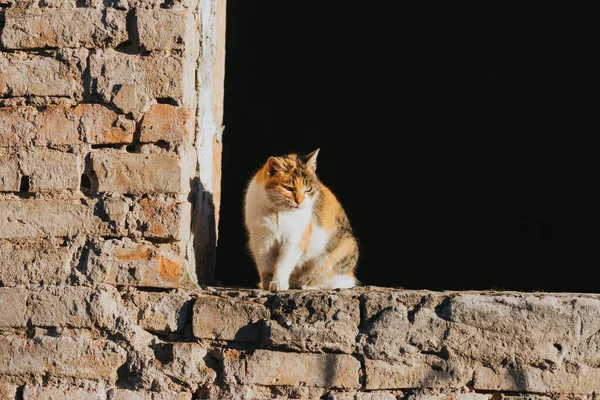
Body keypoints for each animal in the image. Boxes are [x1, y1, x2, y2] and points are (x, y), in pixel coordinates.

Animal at [243, 149, 358, 290]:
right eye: (288, 188)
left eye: (308, 189)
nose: (299, 201)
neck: (279, 212)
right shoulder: (262, 239)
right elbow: (265, 264)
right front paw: (267, 284)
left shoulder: (295, 239)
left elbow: (283, 263)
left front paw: (278, 283)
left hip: (340, 250)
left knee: (338, 281)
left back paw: (308, 284)